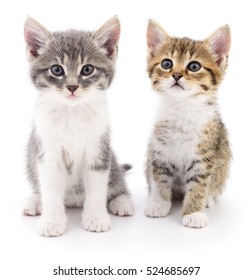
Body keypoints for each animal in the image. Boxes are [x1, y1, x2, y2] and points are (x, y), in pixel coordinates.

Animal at [23, 16, 134, 236]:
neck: (71, 114)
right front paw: (51, 221)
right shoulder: (46, 150)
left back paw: (122, 201)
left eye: (87, 69)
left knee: (116, 180)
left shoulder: (99, 148)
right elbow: (49, 188)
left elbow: (98, 187)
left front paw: (96, 218)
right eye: (57, 70)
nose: (72, 86)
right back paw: (36, 200)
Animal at [145, 20, 231, 228]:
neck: (182, 108)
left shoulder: (204, 156)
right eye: (166, 63)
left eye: (194, 66)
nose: (176, 75)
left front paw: (193, 212)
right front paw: (159, 203)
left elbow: (199, 184)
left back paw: (208, 198)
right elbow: (160, 178)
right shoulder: (159, 151)